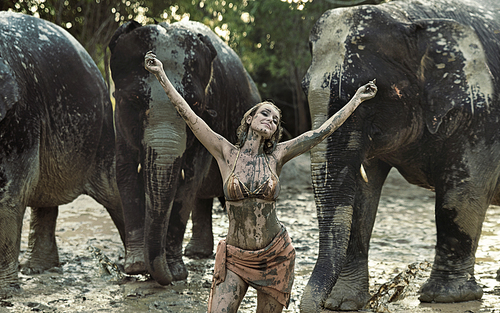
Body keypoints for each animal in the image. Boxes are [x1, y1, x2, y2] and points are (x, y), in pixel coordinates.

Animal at [0, 11, 125, 292]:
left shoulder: (20, 117)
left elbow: (9, 193)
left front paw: (5, 292)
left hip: (101, 130)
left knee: (113, 191)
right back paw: (37, 269)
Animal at [109, 18, 262, 282]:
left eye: (196, 104)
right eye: (134, 100)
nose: (161, 276)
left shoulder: (212, 112)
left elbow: (191, 178)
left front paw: (177, 273)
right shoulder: (120, 123)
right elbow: (125, 172)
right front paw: (136, 267)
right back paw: (197, 253)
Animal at [298, 0, 500, 310]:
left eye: (374, 91)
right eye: (303, 86)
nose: (316, 306)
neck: (408, 17)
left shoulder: (482, 110)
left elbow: (465, 189)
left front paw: (445, 297)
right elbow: (360, 194)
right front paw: (341, 303)